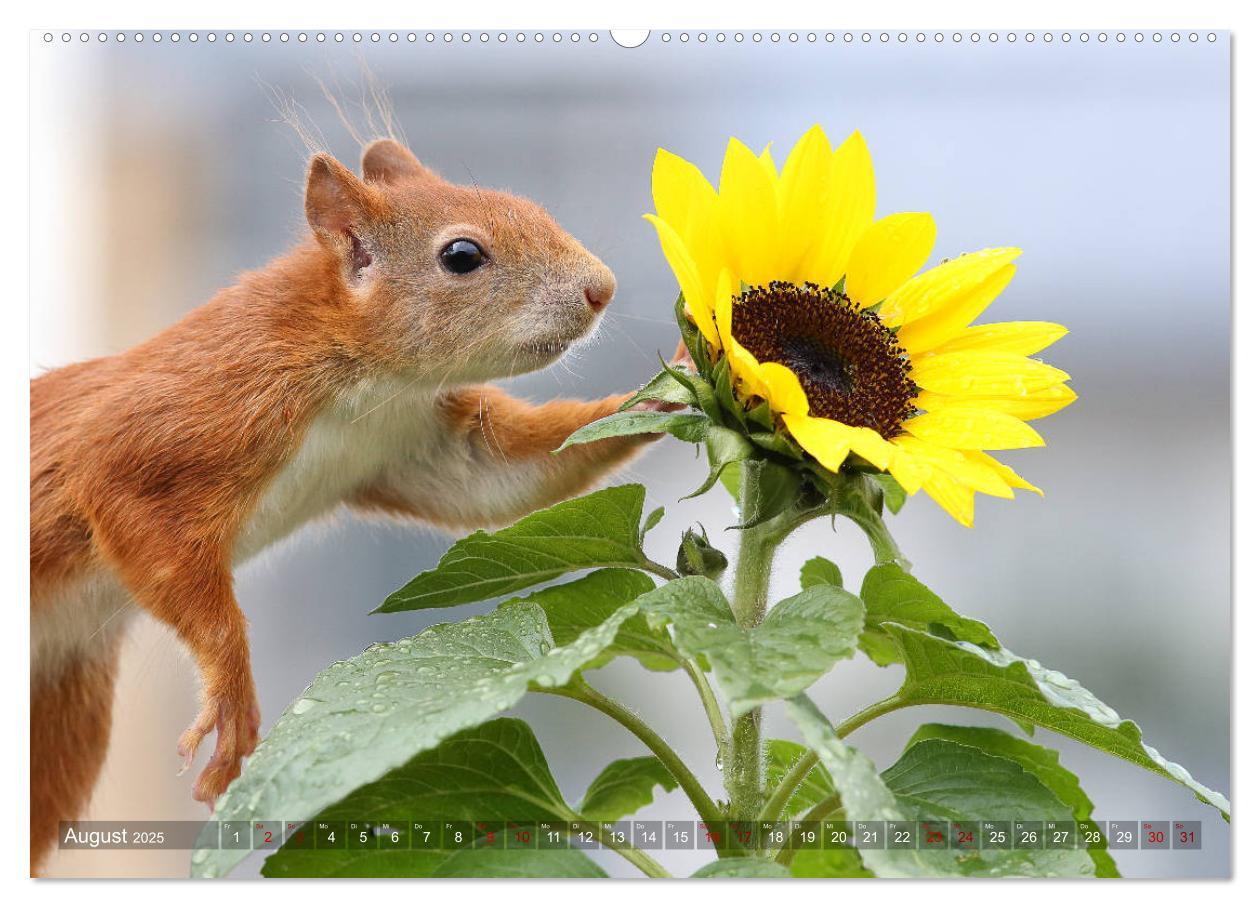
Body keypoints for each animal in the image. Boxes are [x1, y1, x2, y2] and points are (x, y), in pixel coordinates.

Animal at [27, 136, 680, 871]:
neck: (370, 380)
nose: (603, 288)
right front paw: (231, 694)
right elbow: (137, 516)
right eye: (462, 256)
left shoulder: (417, 445)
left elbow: (505, 481)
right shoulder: (178, 424)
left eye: (532, 205)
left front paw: (666, 394)